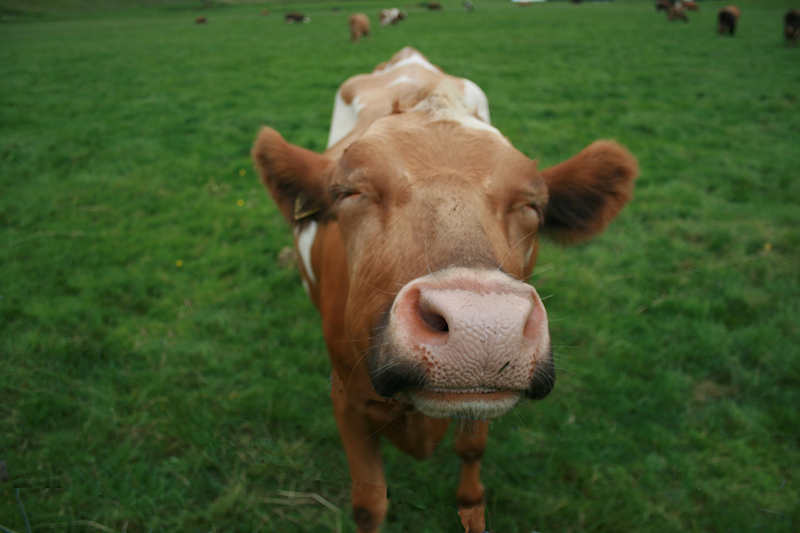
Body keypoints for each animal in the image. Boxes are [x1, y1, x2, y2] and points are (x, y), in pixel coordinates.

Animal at [250, 46, 636, 532]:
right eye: (350, 192)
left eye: (532, 204)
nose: (484, 326)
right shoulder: (345, 397)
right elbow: (368, 502)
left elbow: (471, 451)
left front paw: (471, 508)